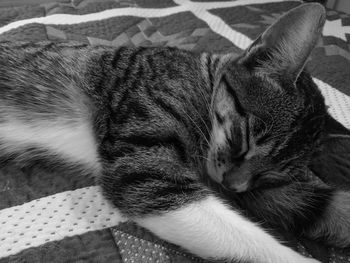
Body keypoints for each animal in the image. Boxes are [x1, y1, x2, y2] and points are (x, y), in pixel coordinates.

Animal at [0, 2, 348, 263]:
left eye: (273, 174)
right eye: (244, 139)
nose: (231, 185)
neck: (202, 81)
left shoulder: (258, 190)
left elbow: (315, 205)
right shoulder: (144, 170)